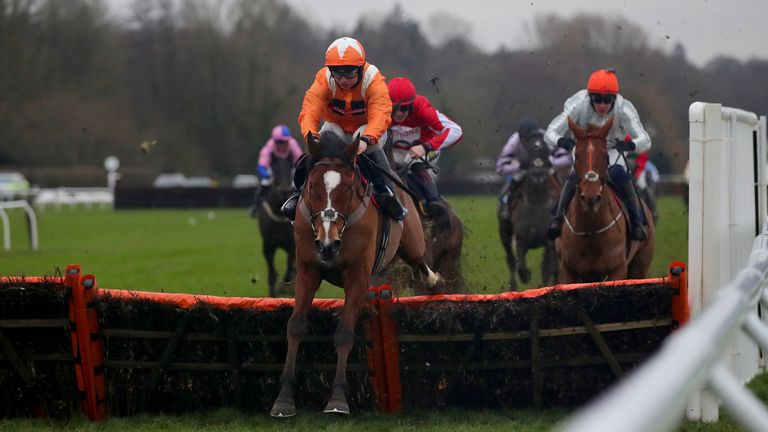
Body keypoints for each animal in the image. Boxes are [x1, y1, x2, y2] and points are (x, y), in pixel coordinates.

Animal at [256, 158, 296, 296]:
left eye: (289, 170)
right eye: (275, 172)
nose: (284, 191)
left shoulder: (291, 244)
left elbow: (290, 268)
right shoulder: (268, 245)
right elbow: (272, 274)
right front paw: (273, 294)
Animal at [272, 132, 440, 418]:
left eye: (349, 189)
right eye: (312, 187)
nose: (327, 245)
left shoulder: (357, 276)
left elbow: (345, 333)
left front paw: (337, 399)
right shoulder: (307, 269)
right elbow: (295, 326)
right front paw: (284, 397)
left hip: (411, 240)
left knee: (420, 260)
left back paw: (433, 280)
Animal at [498, 135, 560, 290]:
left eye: (545, 152)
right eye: (530, 152)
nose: (538, 173)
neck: (536, 203)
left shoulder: (549, 241)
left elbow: (547, 269)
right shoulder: (521, 238)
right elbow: (520, 264)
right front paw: (526, 276)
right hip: (504, 234)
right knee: (511, 260)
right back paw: (513, 286)